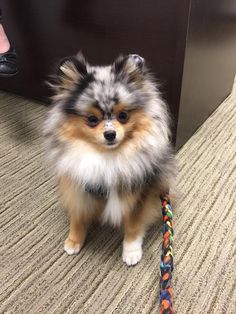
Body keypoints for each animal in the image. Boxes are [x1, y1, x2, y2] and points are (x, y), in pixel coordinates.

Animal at [44, 53, 176, 264]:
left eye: (123, 116)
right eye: (92, 119)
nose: (110, 134)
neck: (107, 157)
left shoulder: (139, 193)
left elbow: (133, 224)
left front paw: (131, 250)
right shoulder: (78, 186)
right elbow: (78, 216)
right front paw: (74, 240)